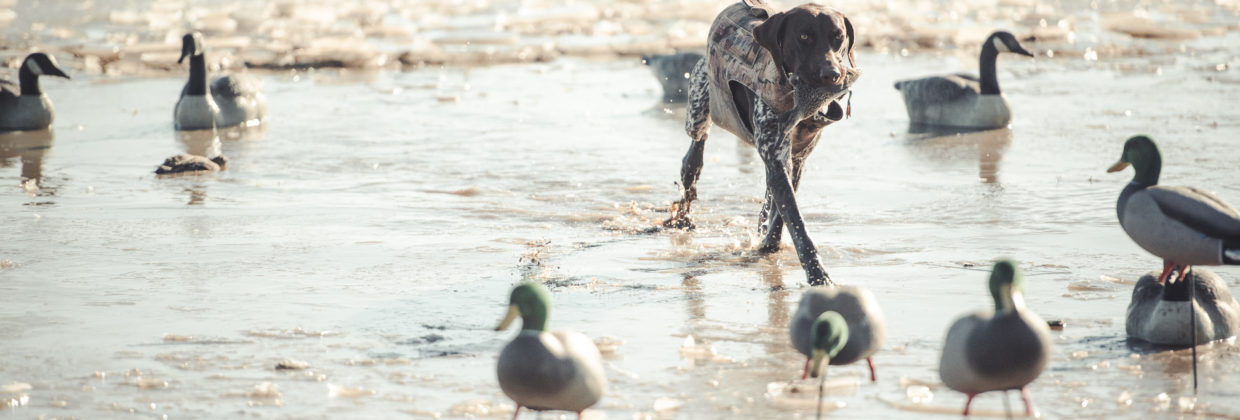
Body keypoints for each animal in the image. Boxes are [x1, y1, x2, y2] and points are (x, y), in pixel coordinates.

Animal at [664, 0, 858, 287]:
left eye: (838, 36)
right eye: (803, 36)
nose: (832, 75)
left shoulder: (794, 160)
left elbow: (782, 213)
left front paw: (770, 245)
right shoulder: (777, 159)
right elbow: (796, 221)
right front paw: (817, 274)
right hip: (698, 106)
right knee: (695, 151)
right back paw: (686, 204)